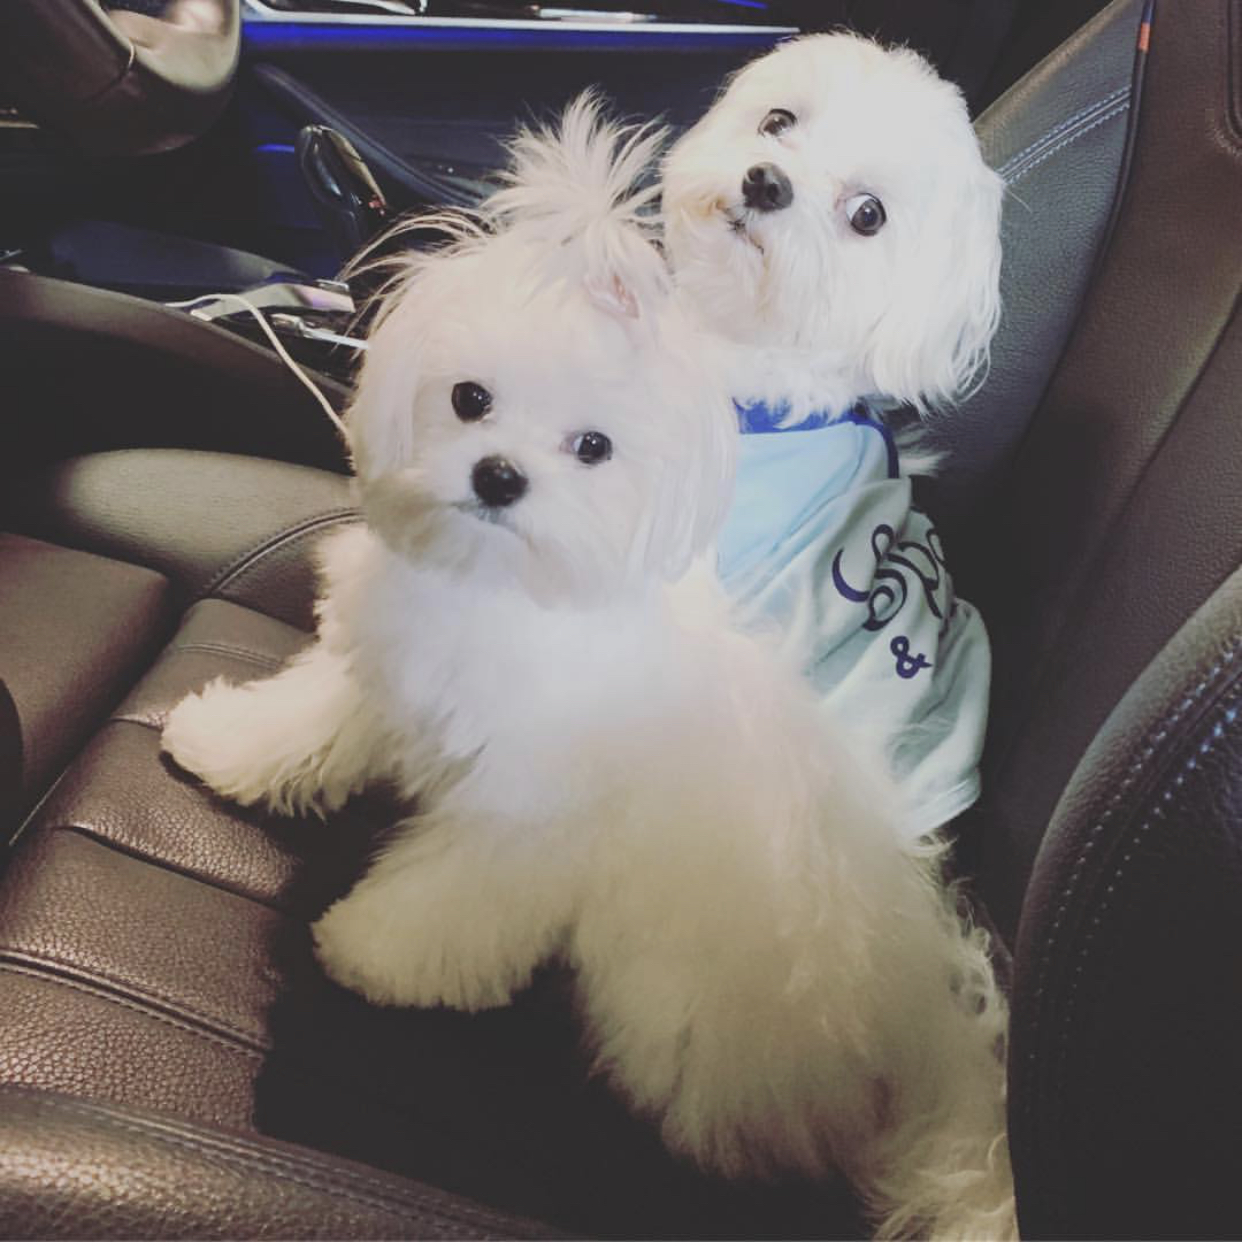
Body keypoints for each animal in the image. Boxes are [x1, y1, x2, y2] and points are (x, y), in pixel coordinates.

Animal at [162, 97, 1015, 1239]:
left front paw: (368, 954)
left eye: (594, 447)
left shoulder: (527, 820)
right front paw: (222, 742)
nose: (498, 474)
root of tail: (927, 1021)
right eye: (469, 398)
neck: (509, 589)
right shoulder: (386, 666)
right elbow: (307, 715)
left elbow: (449, 904)